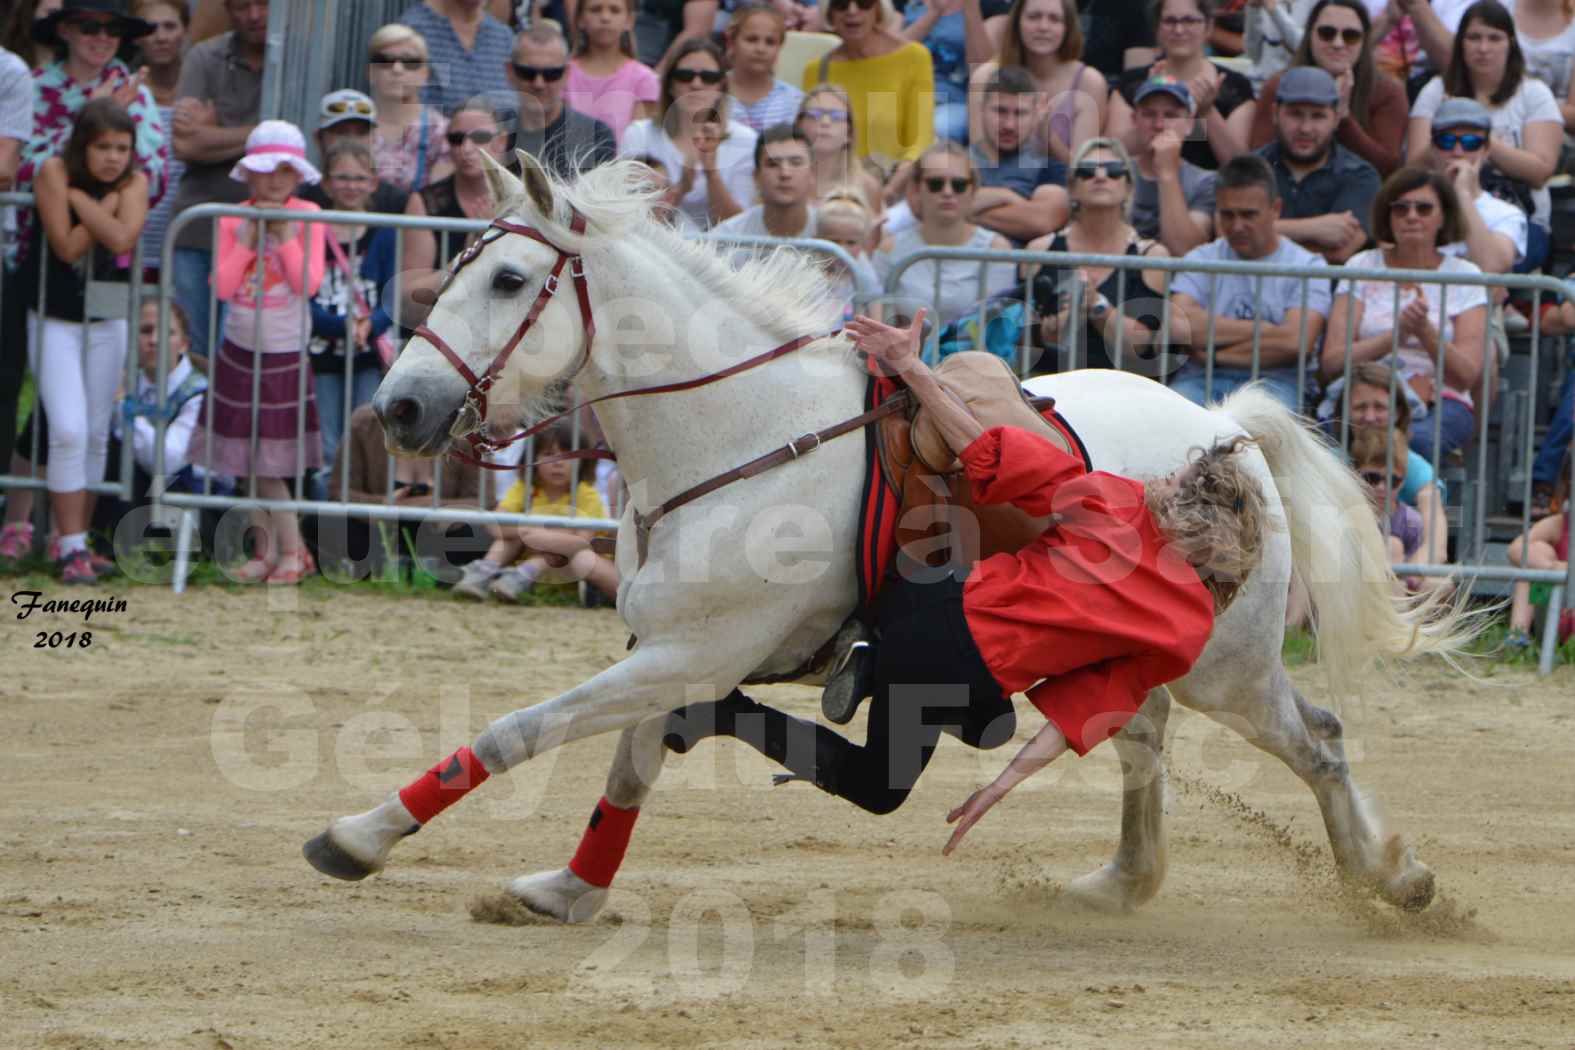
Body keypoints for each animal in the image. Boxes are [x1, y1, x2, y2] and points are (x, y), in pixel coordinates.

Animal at [303, 154, 1474, 919]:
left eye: (508, 280)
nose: (397, 408)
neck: (742, 435)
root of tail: (1225, 430)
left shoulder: (692, 652)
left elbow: (519, 732)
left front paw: (360, 835)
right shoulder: (673, 650)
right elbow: (627, 770)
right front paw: (570, 889)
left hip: (1228, 671)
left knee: (1315, 739)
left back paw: (1393, 879)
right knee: (1144, 741)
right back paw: (1123, 881)